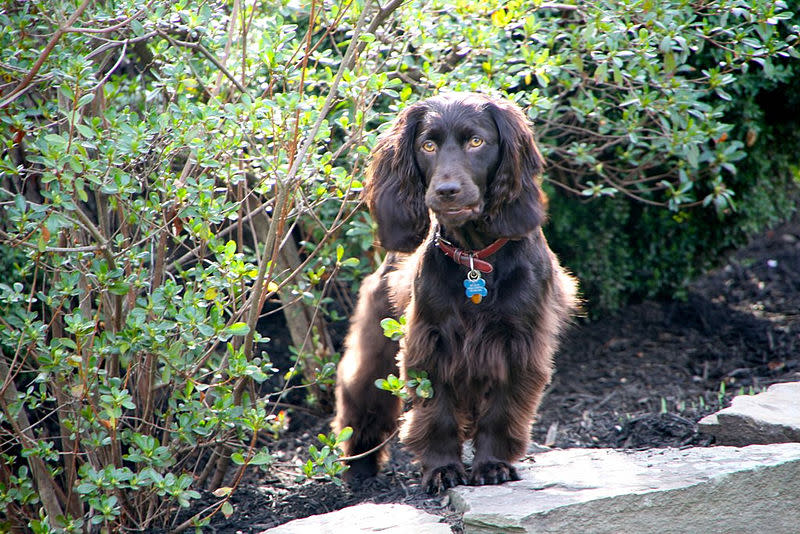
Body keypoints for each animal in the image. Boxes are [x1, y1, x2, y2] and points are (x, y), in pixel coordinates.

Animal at [332, 92, 576, 494]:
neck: (475, 257)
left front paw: (492, 464)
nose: (446, 191)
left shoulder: (520, 344)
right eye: (427, 145)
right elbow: (437, 413)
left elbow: (502, 411)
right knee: (362, 398)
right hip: (376, 345)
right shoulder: (429, 342)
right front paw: (443, 469)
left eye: (476, 141)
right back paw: (358, 466)